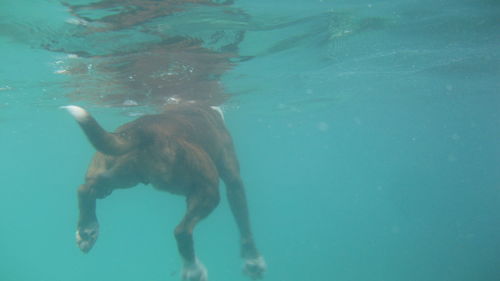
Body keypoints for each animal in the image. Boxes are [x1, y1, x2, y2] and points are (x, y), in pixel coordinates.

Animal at [62, 102, 266, 280]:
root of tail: (144, 129)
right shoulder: (233, 178)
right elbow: (244, 222)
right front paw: (253, 261)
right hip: (208, 192)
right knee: (181, 231)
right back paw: (194, 271)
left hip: (117, 176)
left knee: (85, 190)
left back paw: (87, 230)